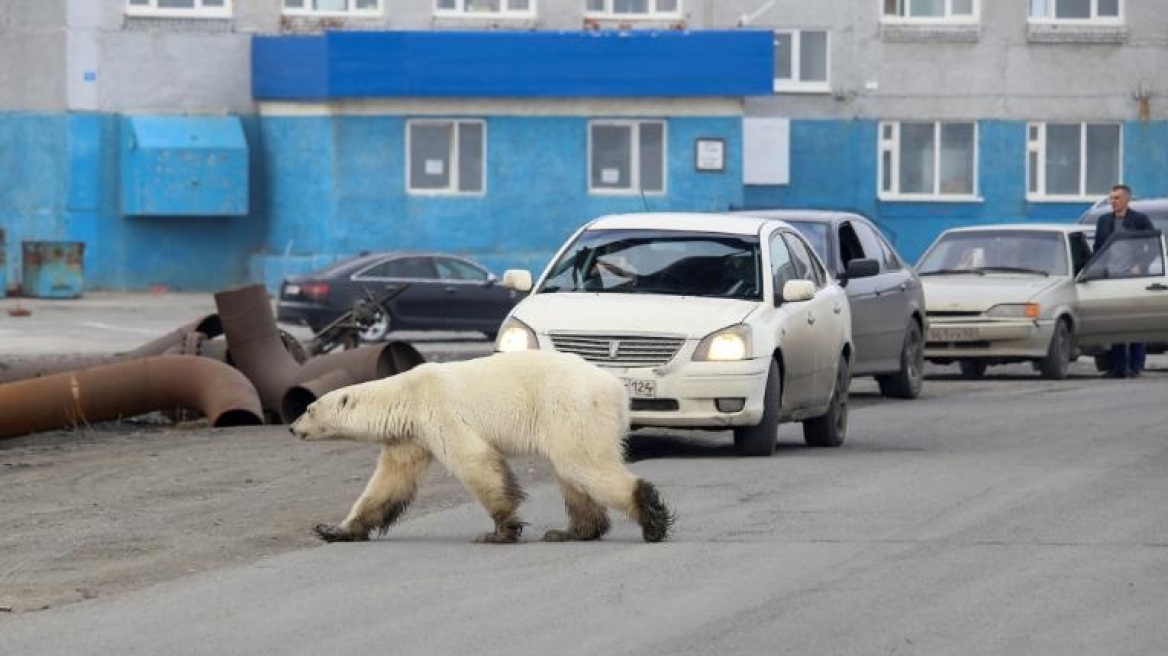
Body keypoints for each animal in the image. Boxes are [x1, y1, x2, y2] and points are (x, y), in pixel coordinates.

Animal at [289, 347, 677, 541]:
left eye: (308, 408)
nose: (292, 428)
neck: (404, 394)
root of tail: (616, 390)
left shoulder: (438, 409)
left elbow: (475, 461)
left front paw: (501, 531)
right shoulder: (410, 436)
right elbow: (389, 482)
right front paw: (334, 529)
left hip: (571, 407)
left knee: (582, 464)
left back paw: (651, 519)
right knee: (572, 475)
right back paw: (571, 532)